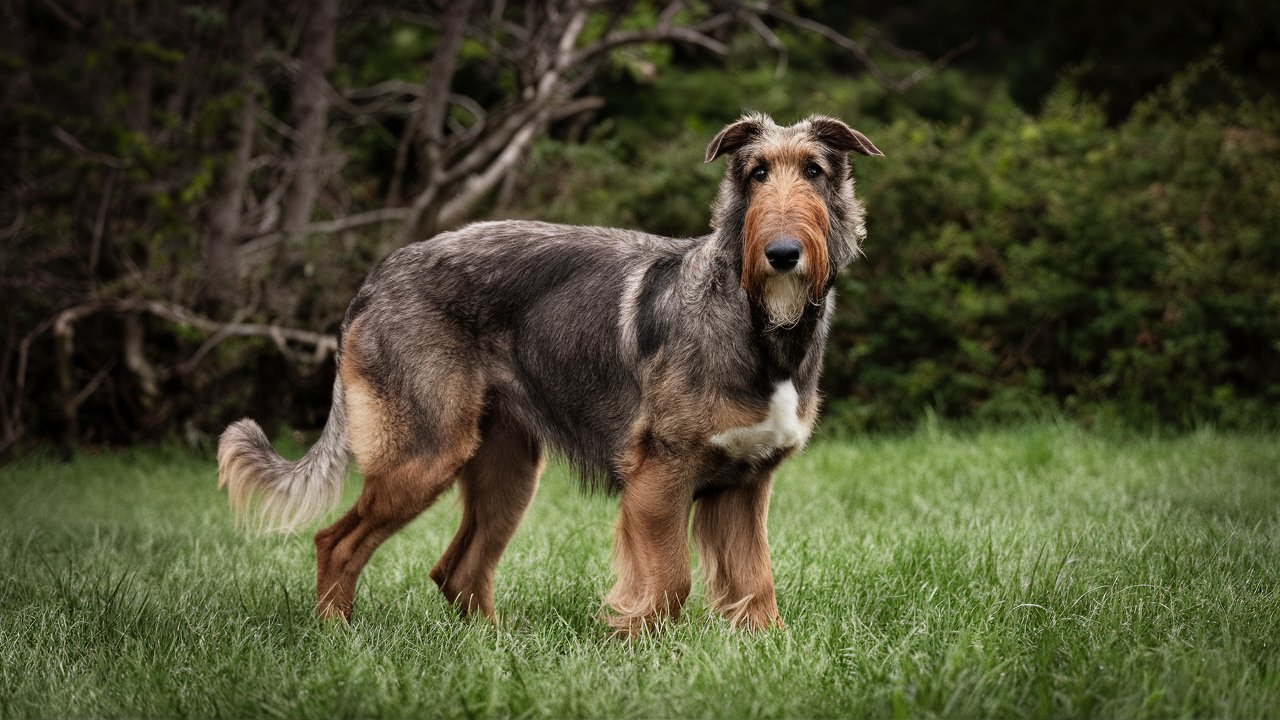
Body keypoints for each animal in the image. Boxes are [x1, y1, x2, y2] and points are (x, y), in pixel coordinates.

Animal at [220, 109, 880, 630]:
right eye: (757, 173)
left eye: (814, 172)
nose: (782, 254)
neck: (759, 328)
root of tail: (376, 278)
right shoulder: (658, 476)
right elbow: (670, 583)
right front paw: (636, 646)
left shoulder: (744, 488)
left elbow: (756, 590)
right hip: (423, 456)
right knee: (336, 543)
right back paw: (337, 637)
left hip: (506, 471)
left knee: (457, 570)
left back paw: (491, 649)